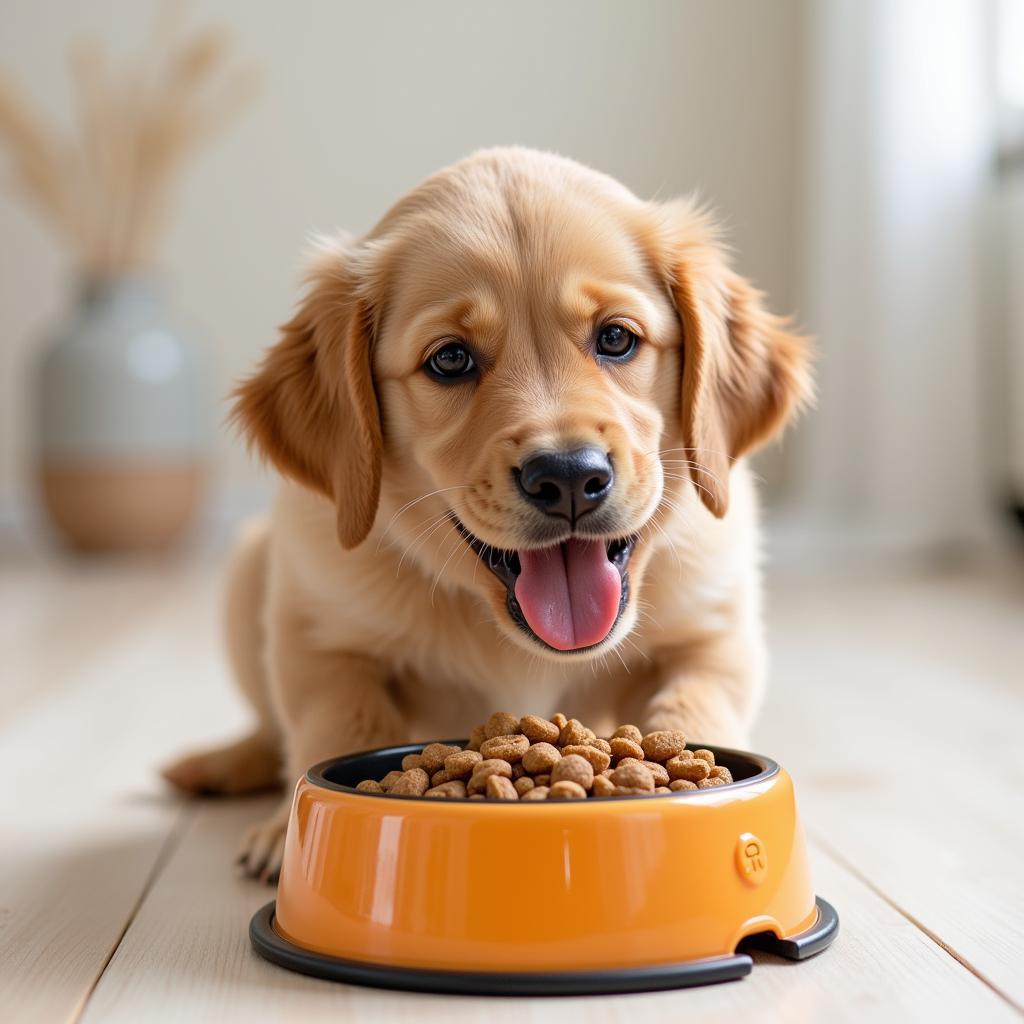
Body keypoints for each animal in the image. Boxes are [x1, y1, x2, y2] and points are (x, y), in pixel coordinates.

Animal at [163, 146, 811, 880]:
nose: (568, 476)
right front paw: (289, 830)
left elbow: (696, 701)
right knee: (268, 727)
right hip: (249, 569)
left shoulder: (713, 627)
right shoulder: (319, 630)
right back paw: (219, 763)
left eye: (617, 338)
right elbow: (339, 721)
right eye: (450, 358)